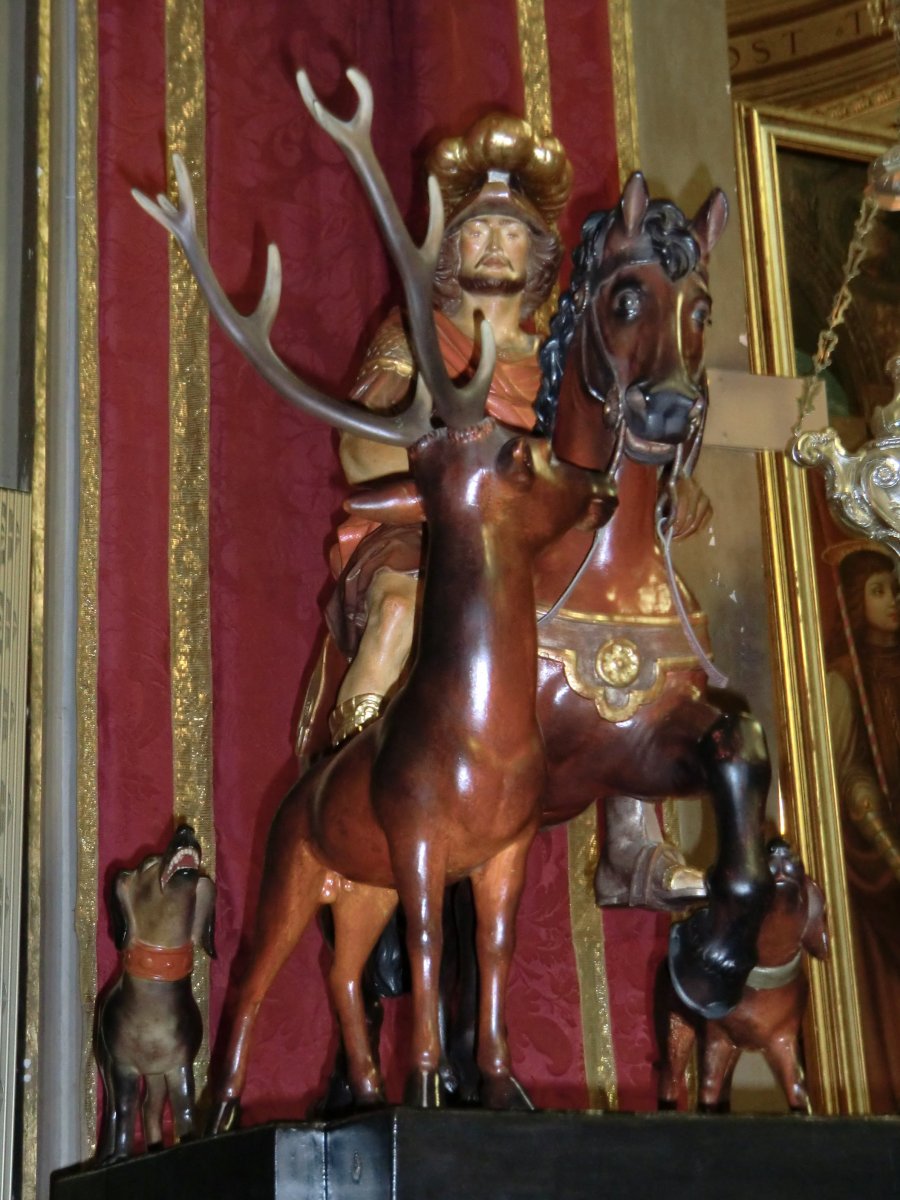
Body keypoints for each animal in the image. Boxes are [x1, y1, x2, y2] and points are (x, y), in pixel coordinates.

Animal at [96, 825, 216, 1161]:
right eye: (148, 863)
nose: (186, 829)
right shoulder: (123, 1066)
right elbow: (124, 1111)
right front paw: (120, 1156)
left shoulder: (179, 1064)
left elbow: (184, 1107)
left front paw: (187, 1141)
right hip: (105, 1063)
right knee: (114, 1111)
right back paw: (105, 1155)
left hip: (155, 1073)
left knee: (151, 1106)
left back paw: (155, 1147)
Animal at [657, 840, 830, 1108]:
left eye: (801, 867)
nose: (779, 846)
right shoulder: (716, 1040)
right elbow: (708, 1089)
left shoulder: (783, 1042)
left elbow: (798, 1091)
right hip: (675, 1029)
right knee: (671, 1080)